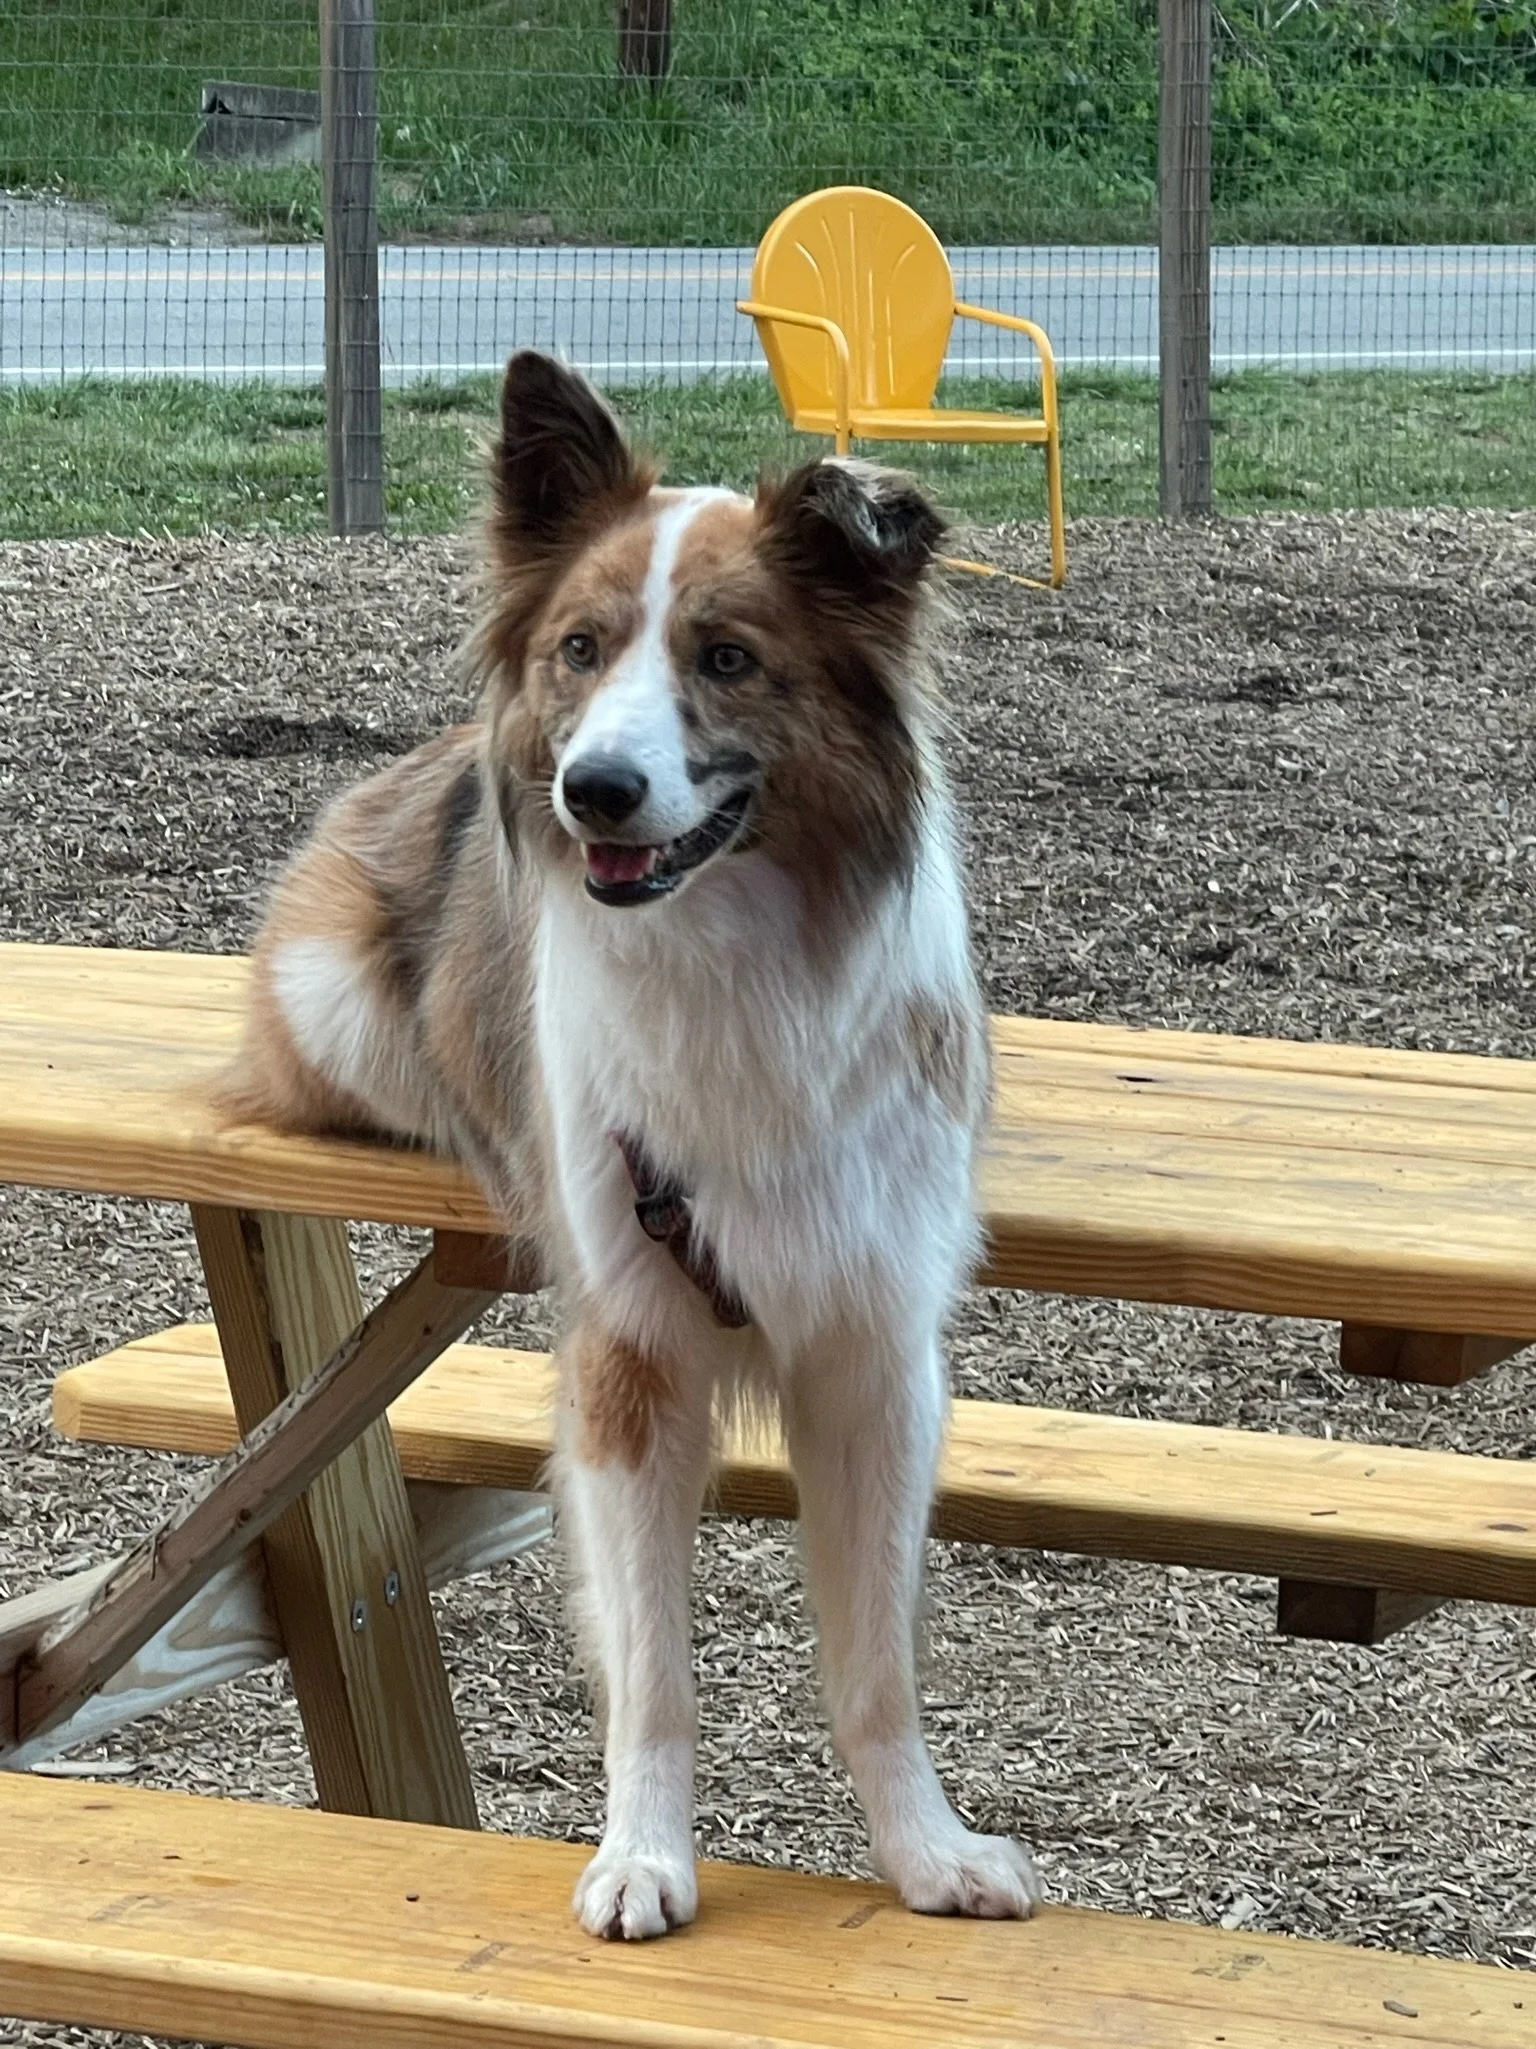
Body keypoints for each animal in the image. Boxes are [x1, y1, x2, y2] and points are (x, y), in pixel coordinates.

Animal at [230, 350, 1040, 1939]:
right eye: (582, 649)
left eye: (725, 658)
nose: (592, 789)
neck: (734, 963)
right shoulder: (628, 1351)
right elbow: (653, 1673)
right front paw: (644, 1860)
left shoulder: (874, 1349)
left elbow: (876, 1665)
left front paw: (927, 1853)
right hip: (334, 1006)